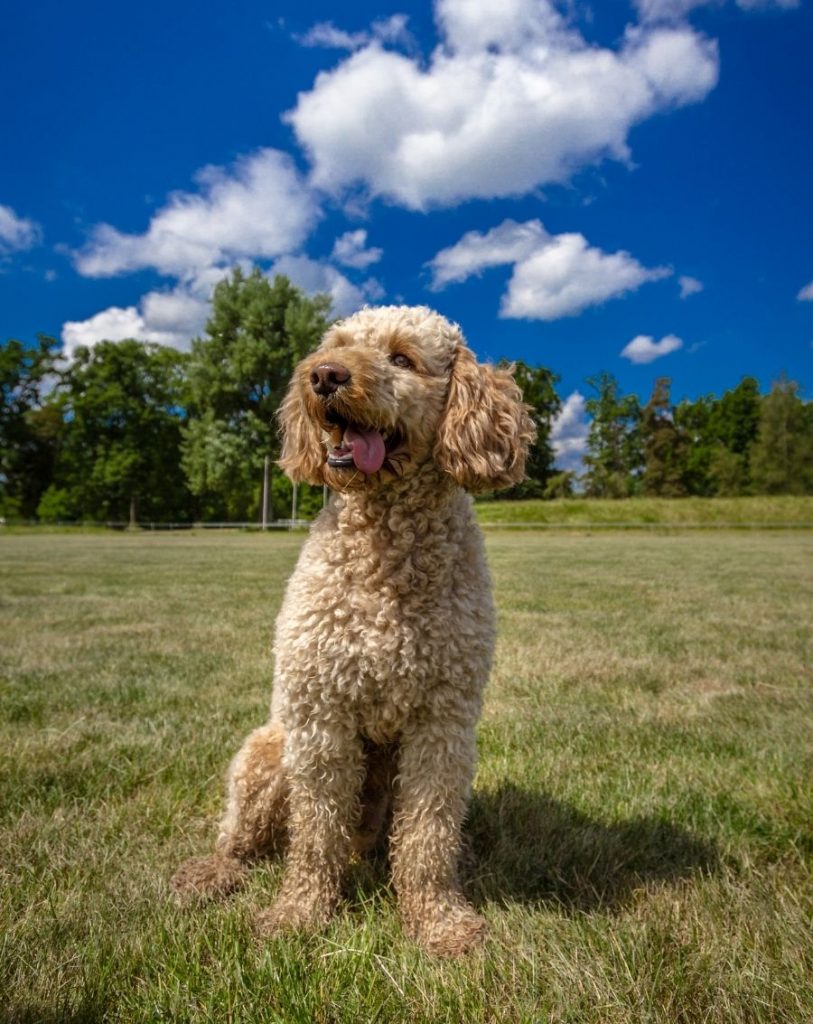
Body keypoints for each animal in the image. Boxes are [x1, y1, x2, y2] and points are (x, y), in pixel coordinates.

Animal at [170, 305, 532, 958]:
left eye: (402, 358)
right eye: (335, 345)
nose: (324, 376)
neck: (385, 546)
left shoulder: (442, 723)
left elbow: (427, 836)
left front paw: (439, 921)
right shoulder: (321, 717)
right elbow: (315, 836)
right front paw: (298, 914)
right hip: (266, 753)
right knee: (240, 839)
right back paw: (210, 873)